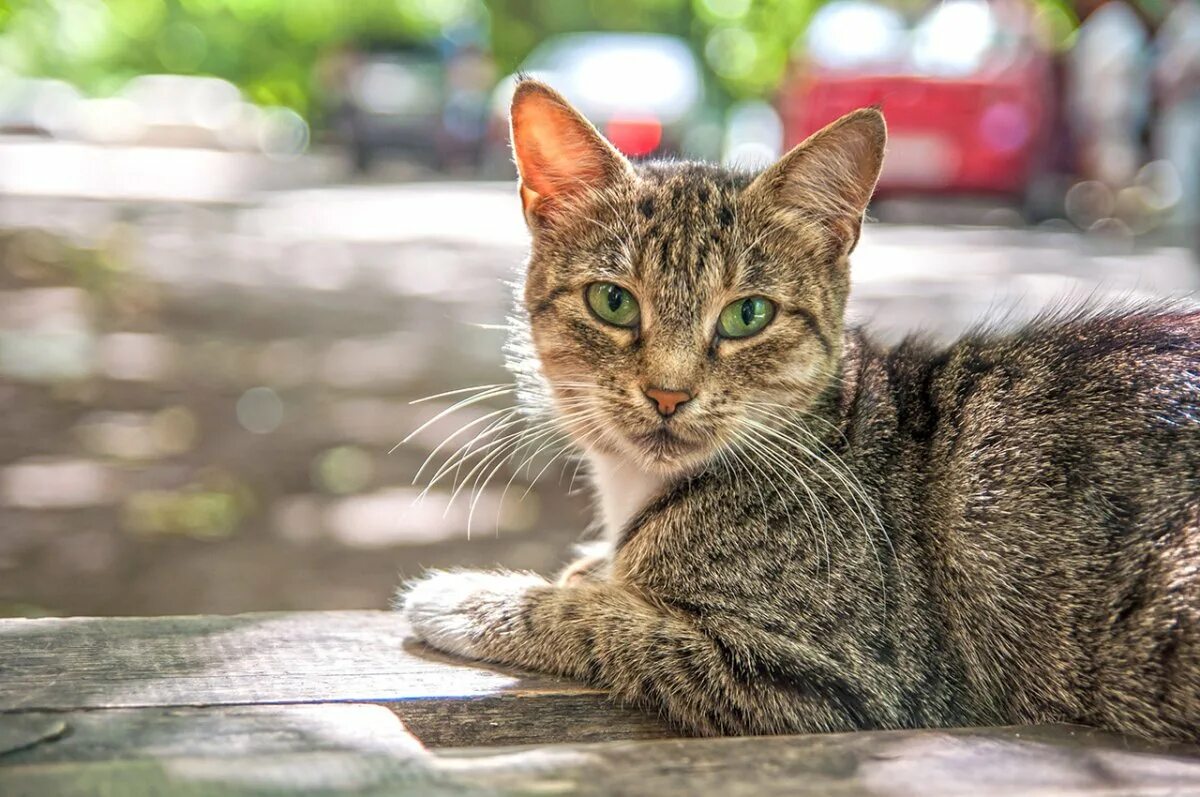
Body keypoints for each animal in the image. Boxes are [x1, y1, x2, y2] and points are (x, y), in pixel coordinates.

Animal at [400, 78, 1200, 739]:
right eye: (613, 301)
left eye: (748, 314)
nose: (667, 392)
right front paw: (587, 568)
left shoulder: (836, 681)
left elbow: (615, 624)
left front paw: (472, 597)